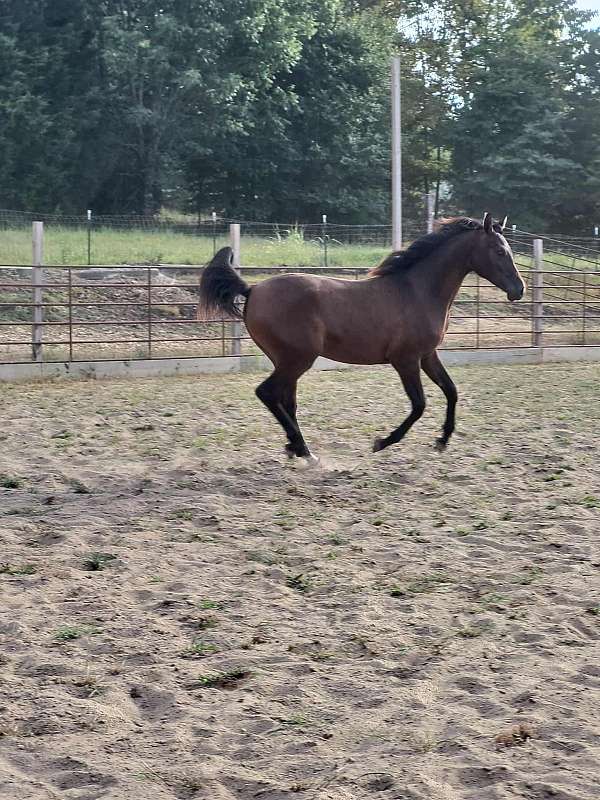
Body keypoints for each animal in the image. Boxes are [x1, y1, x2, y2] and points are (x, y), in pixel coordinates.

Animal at [199, 213, 525, 463]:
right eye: (499, 251)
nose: (518, 290)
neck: (417, 291)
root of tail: (252, 289)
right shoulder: (405, 360)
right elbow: (419, 404)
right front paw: (382, 442)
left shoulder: (427, 355)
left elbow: (451, 391)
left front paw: (442, 440)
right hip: (298, 359)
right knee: (267, 393)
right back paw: (303, 450)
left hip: (287, 361)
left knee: (286, 401)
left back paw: (298, 448)